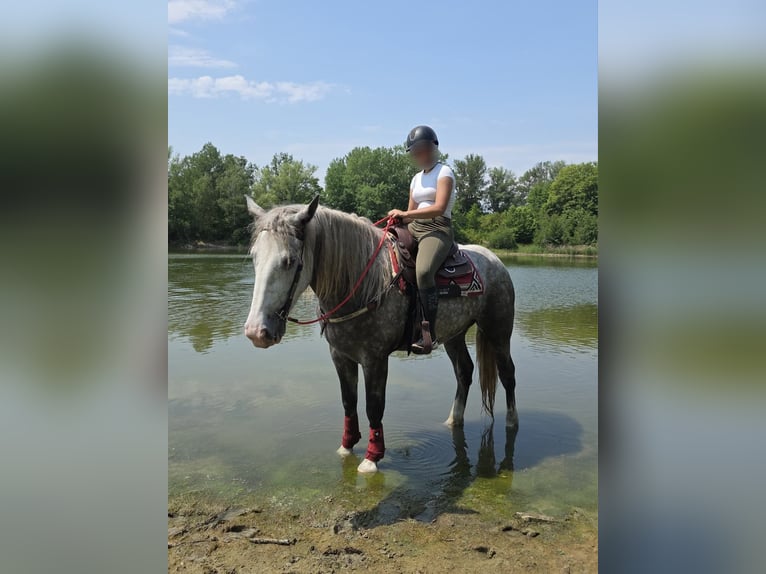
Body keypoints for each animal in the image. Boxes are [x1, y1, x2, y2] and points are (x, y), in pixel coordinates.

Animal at [243, 195, 518, 474]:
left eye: (289, 261)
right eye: (254, 257)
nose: (256, 332)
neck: (362, 285)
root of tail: (494, 260)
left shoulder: (375, 359)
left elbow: (374, 407)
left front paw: (372, 458)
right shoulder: (340, 356)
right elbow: (349, 402)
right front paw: (347, 446)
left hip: (498, 330)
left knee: (507, 374)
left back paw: (511, 422)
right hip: (454, 335)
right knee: (464, 371)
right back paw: (454, 420)